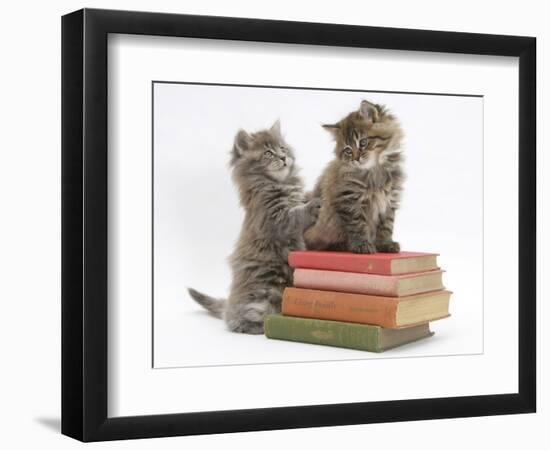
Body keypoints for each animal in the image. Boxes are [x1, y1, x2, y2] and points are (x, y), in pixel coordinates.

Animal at [189, 121, 322, 332]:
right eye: (268, 153)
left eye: (282, 148)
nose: (283, 157)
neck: (279, 184)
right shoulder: (274, 218)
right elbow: (295, 215)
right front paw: (313, 206)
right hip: (261, 296)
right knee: (236, 320)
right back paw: (258, 326)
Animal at [306, 100, 406, 253]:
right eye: (348, 150)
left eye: (363, 142)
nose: (356, 159)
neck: (374, 170)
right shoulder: (349, 200)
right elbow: (357, 225)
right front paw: (362, 245)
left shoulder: (389, 199)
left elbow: (386, 226)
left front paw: (385, 244)